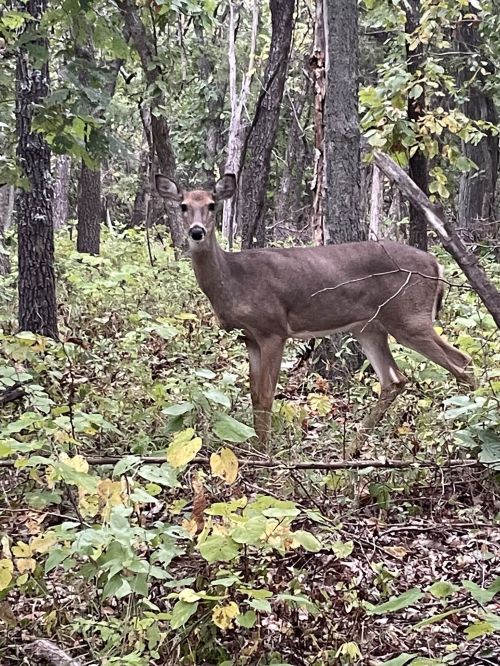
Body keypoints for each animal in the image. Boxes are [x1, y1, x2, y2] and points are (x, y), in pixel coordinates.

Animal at [155, 172, 475, 447]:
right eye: (184, 206)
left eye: (212, 205)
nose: (197, 232)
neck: (234, 279)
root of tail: (436, 264)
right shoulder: (249, 337)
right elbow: (255, 395)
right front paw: (256, 451)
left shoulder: (273, 330)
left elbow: (267, 395)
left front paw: (266, 459)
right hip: (369, 327)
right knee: (395, 379)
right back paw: (353, 450)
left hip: (410, 317)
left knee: (462, 361)